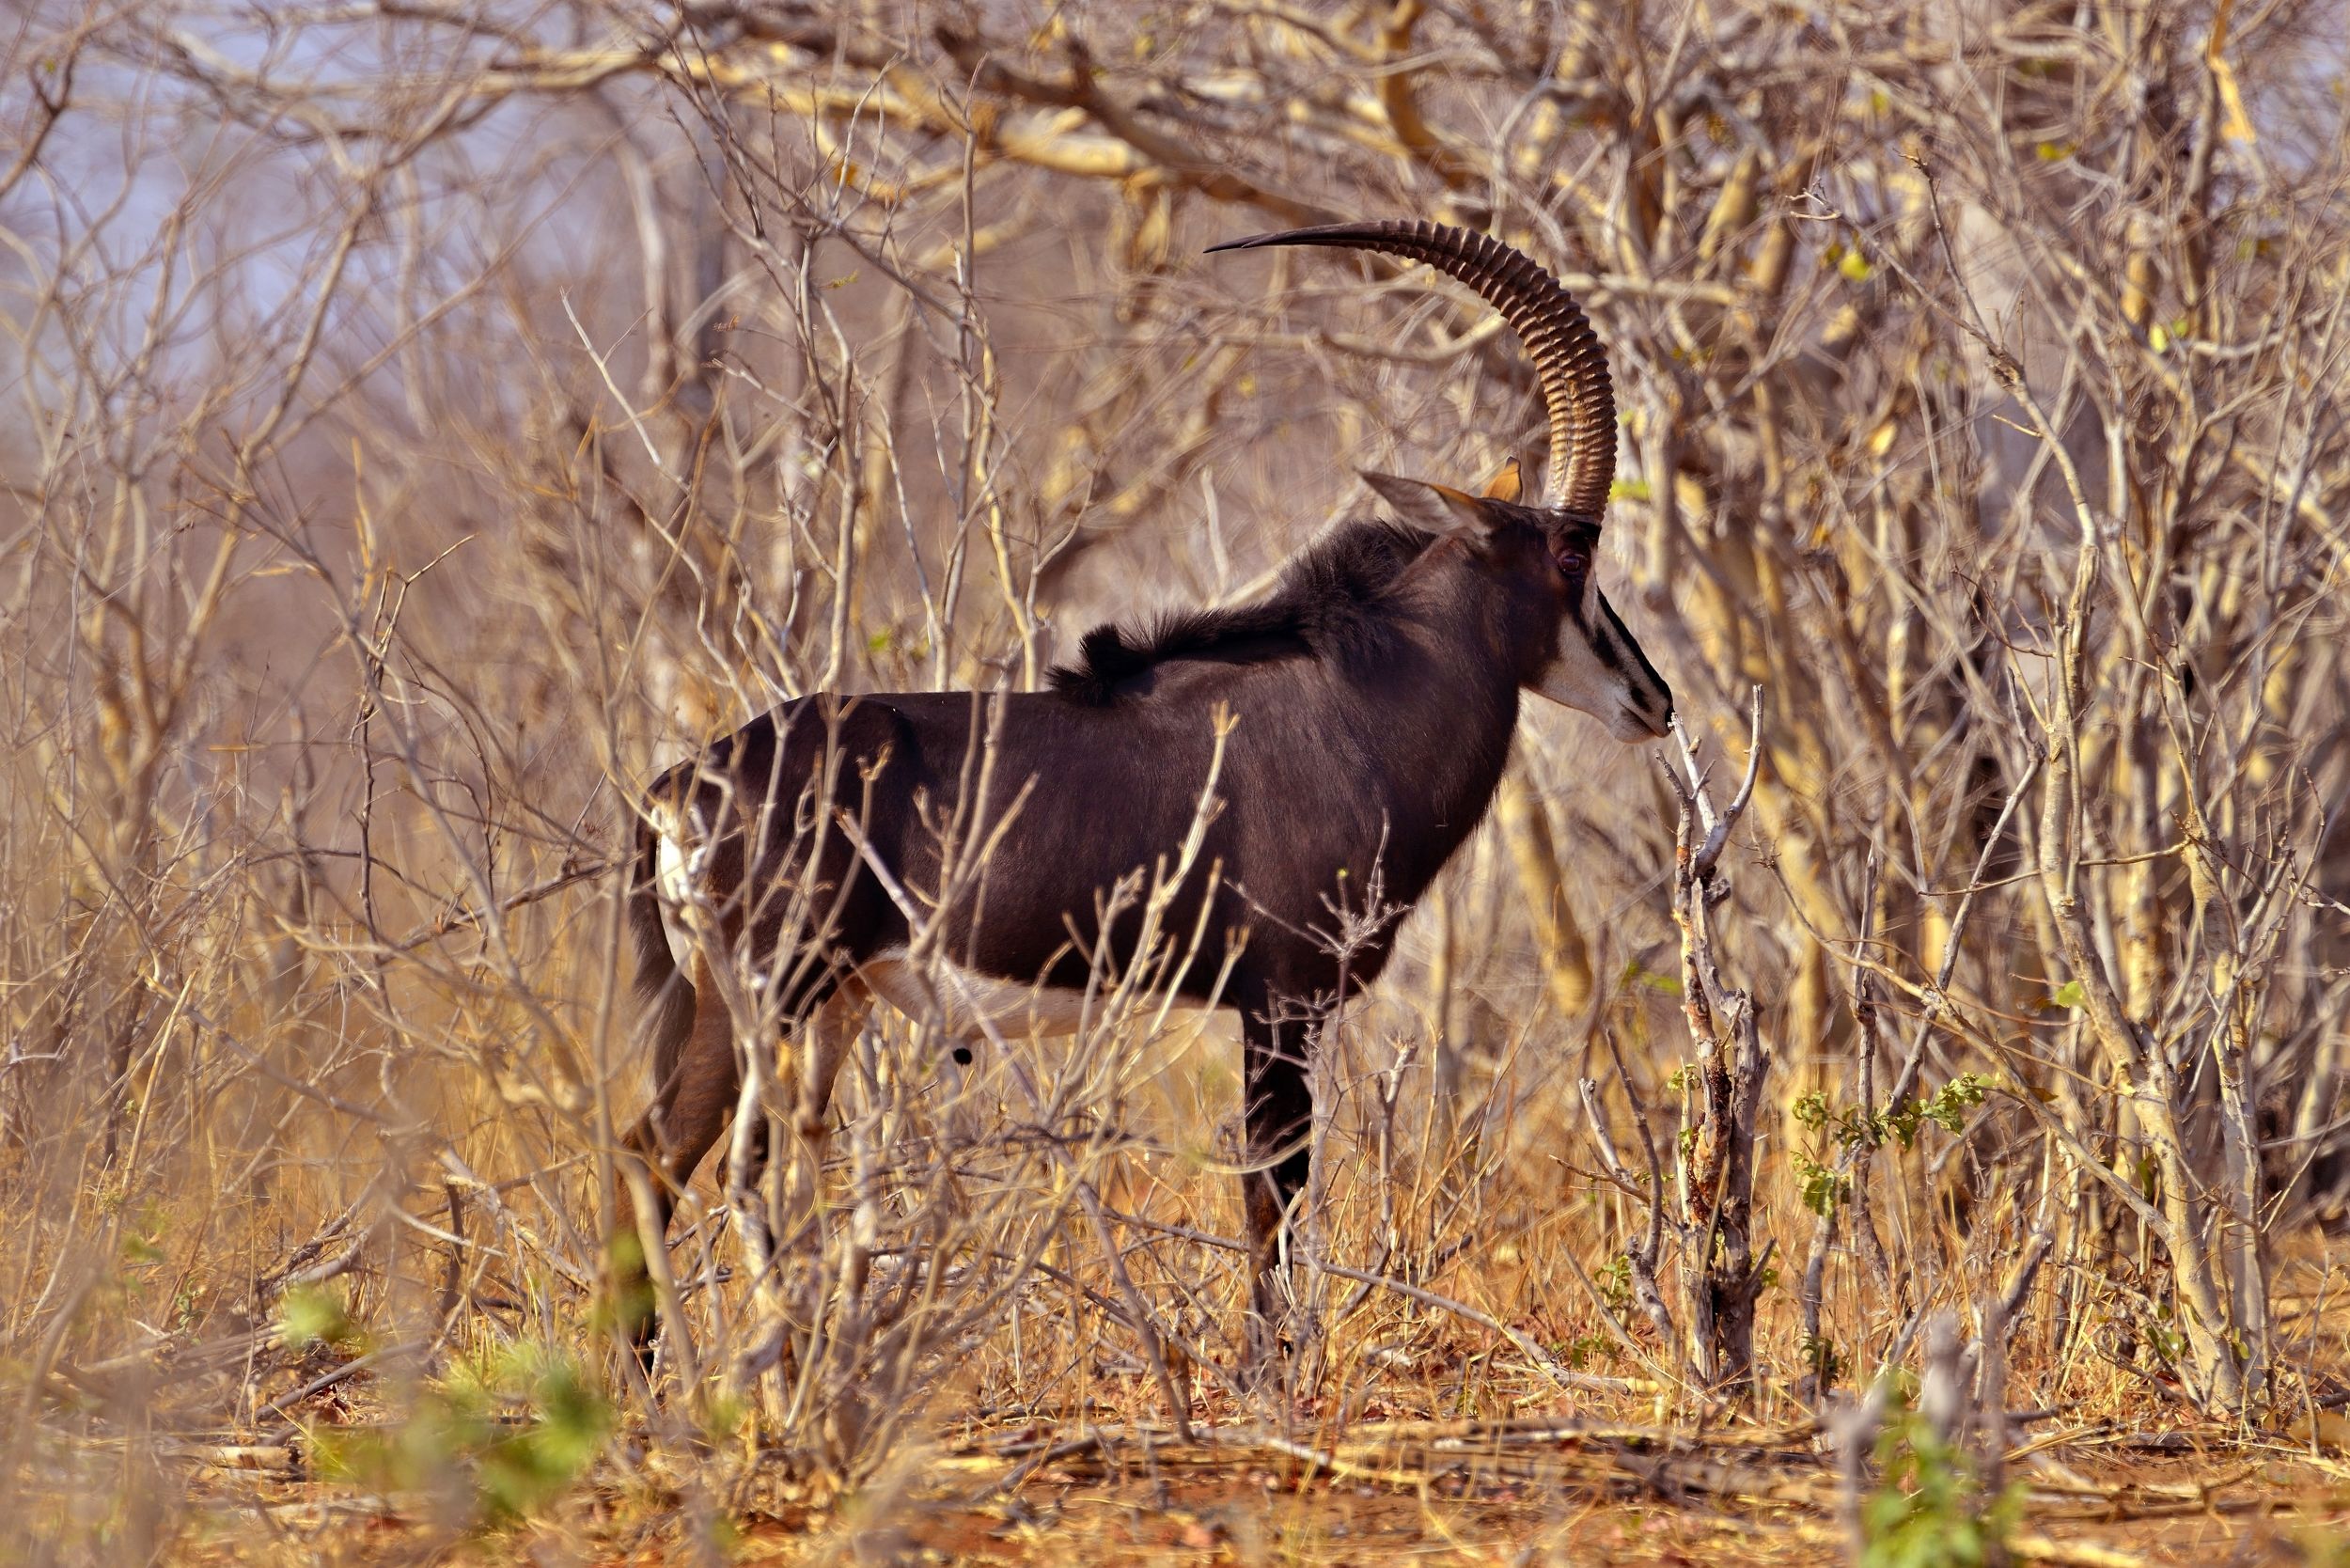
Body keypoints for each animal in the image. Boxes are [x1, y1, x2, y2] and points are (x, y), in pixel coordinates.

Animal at [614, 220, 1673, 1366]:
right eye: (1570, 550)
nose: (1653, 699)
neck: (1354, 700)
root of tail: (678, 784)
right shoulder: (1281, 1002)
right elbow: (1271, 1194)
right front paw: (1268, 1372)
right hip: (769, 990)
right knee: (695, 1160)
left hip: (810, 1002)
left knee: (704, 1158)